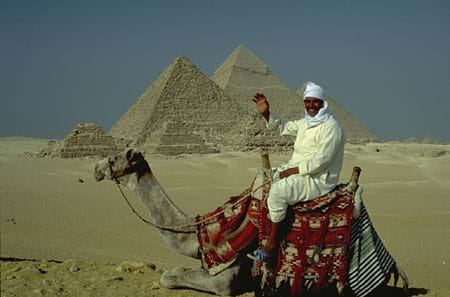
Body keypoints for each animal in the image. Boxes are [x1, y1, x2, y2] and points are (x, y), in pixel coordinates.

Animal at [94, 148, 408, 294]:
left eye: (114, 158)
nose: (96, 169)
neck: (198, 233)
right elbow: (175, 272)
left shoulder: (227, 279)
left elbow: (169, 278)